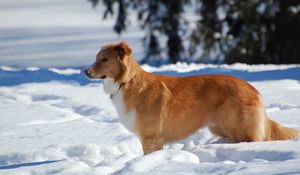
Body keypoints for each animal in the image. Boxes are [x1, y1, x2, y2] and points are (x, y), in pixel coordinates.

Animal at [84, 41, 300, 154]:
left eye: (104, 60)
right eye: (96, 58)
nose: (85, 72)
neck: (125, 82)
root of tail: (253, 89)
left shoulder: (151, 138)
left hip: (238, 127)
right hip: (219, 127)